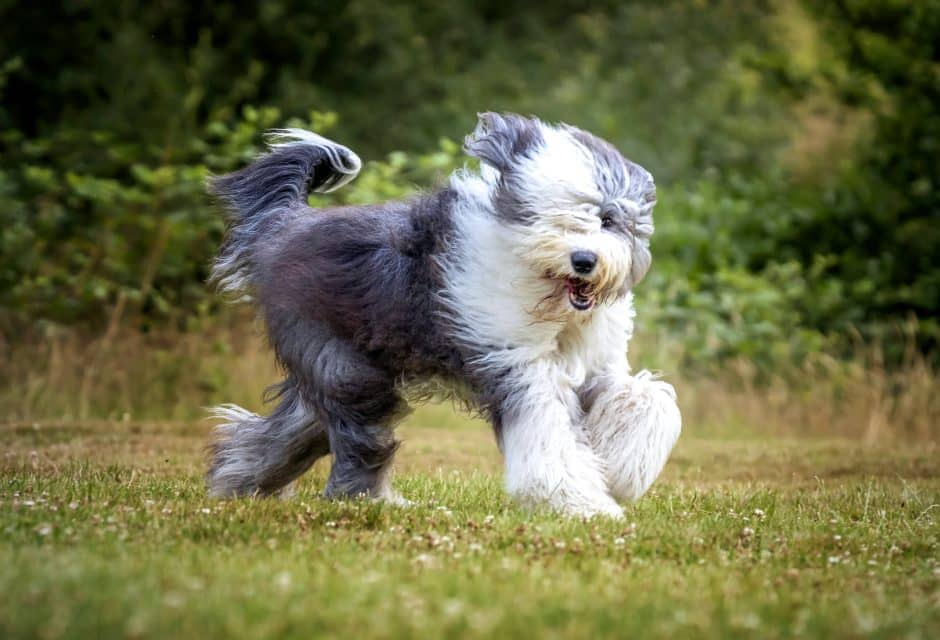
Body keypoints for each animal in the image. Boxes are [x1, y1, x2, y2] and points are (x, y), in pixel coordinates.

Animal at [206, 112, 680, 516]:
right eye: (547, 217)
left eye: (607, 219)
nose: (583, 260)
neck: (550, 304)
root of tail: (285, 224)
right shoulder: (514, 364)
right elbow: (547, 432)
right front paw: (581, 503)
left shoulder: (597, 363)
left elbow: (646, 398)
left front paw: (621, 470)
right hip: (344, 366)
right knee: (360, 440)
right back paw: (372, 501)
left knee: (292, 430)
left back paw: (236, 482)